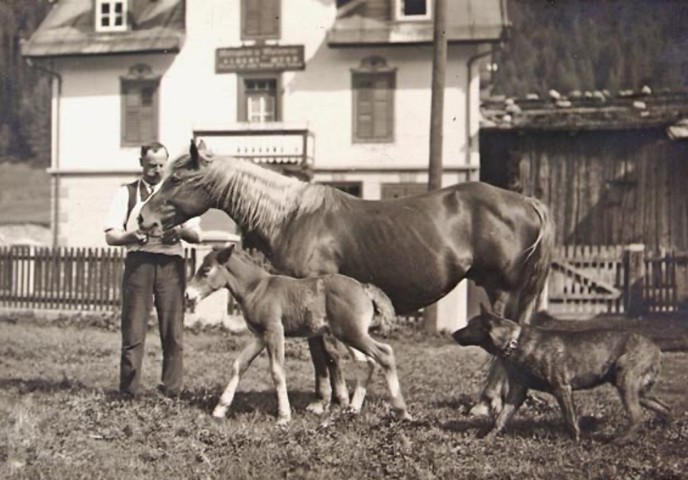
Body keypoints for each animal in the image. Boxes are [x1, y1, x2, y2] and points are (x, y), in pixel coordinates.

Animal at [184, 246, 414, 426]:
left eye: (205, 270)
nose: (187, 294)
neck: (257, 289)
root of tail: (364, 288)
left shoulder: (274, 331)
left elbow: (277, 371)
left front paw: (284, 417)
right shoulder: (259, 336)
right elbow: (239, 365)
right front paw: (220, 409)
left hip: (352, 333)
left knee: (384, 354)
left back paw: (402, 412)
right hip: (348, 335)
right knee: (367, 362)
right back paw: (352, 409)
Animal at [452, 308, 672, 442]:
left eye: (470, 325)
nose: (453, 333)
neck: (513, 342)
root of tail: (657, 348)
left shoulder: (562, 389)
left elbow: (570, 420)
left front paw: (576, 441)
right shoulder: (517, 392)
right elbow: (501, 418)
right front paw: (488, 438)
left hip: (625, 383)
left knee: (637, 415)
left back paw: (619, 440)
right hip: (641, 392)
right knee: (665, 408)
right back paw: (665, 427)